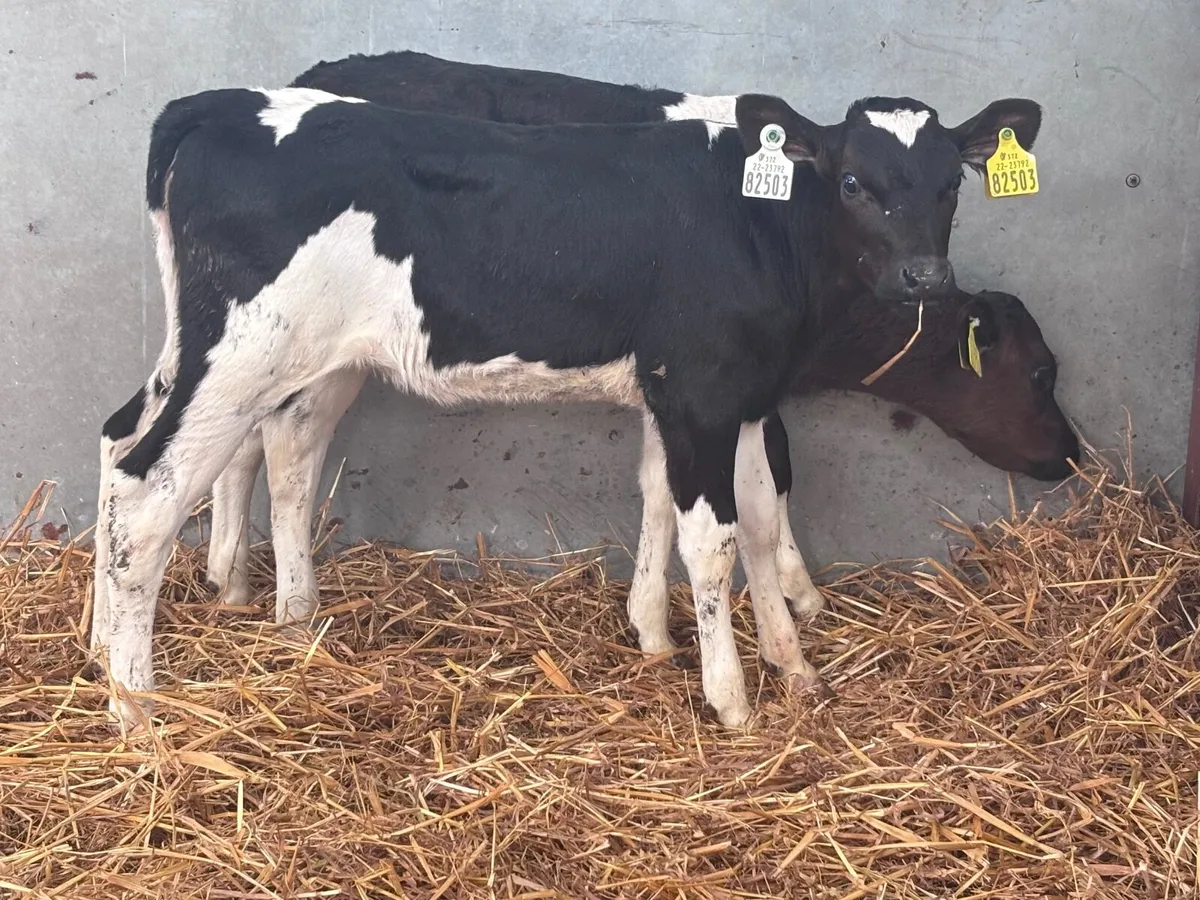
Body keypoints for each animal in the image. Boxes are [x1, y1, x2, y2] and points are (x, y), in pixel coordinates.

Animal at [92, 81, 1043, 731]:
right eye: (852, 182)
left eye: (951, 185)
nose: (923, 275)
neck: (758, 225)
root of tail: (222, 103)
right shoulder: (701, 392)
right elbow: (714, 540)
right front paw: (731, 697)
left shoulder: (733, 396)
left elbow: (758, 520)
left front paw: (788, 666)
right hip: (244, 356)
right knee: (149, 493)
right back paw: (136, 705)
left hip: (234, 354)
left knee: (134, 440)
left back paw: (149, 639)